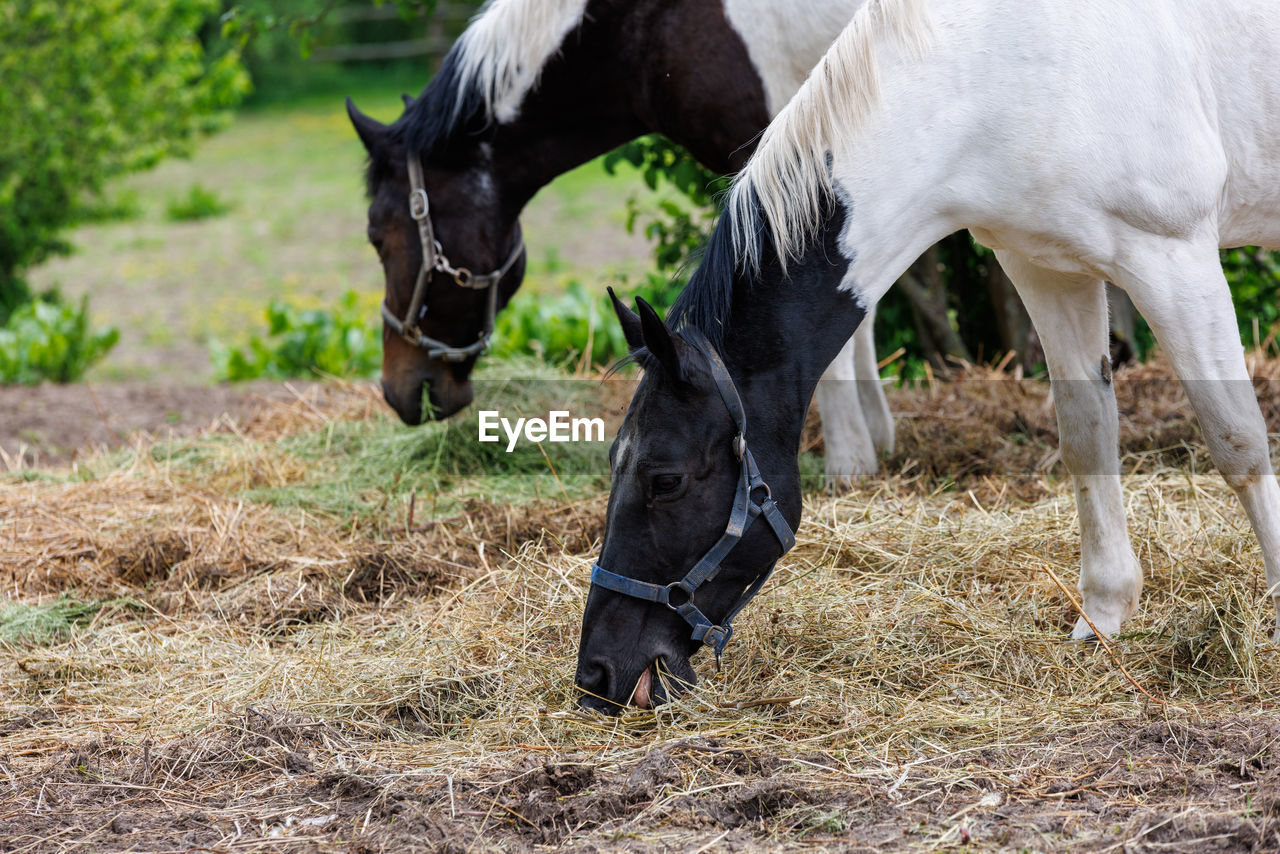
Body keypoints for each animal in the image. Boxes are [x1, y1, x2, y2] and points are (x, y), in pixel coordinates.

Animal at [578, 0, 1280, 711]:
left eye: (665, 480)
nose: (596, 675)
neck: (995, 72)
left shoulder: (1173, 260)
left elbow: (1238, 441)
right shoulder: (1047, 269)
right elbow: (1087, 435)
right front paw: (1102, 617)